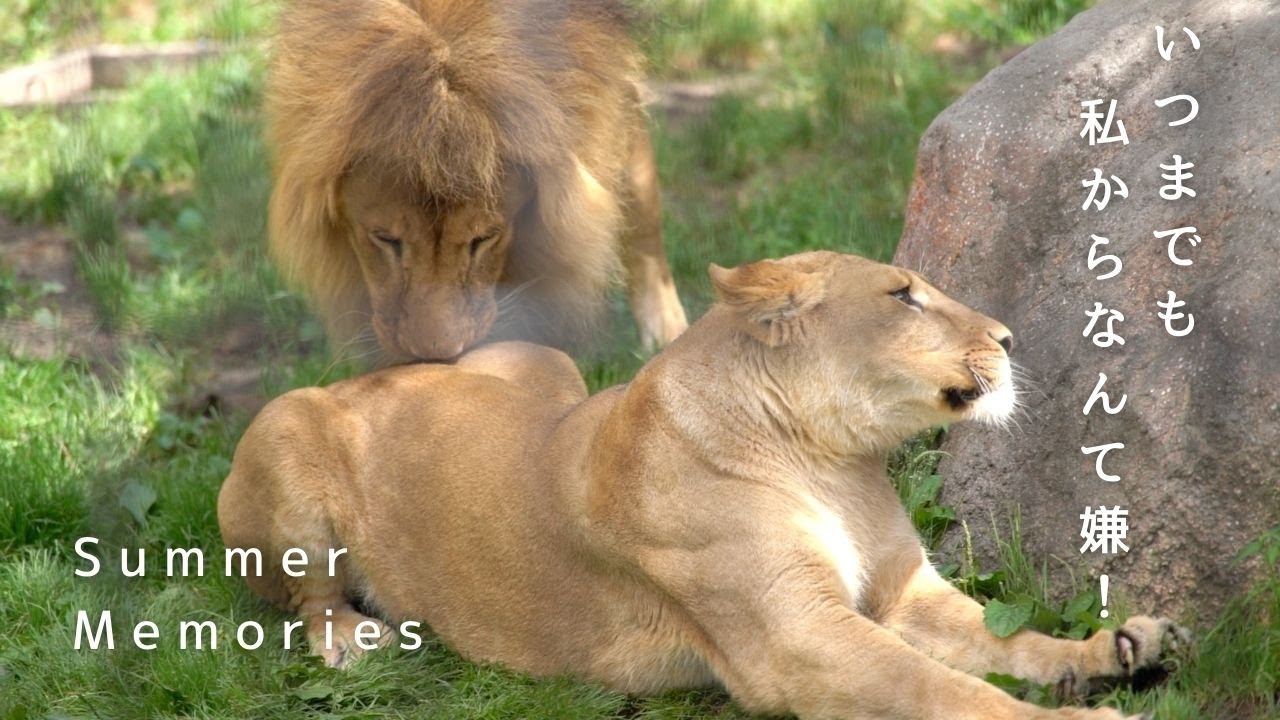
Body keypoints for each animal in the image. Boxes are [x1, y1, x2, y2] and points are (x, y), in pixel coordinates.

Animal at [219, 251, 1187, 719]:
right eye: (903, 295)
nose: (1012, 338)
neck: (832, 460)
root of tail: (373, 377)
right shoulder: (796, 640)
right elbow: (937, 690)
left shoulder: (901, 594)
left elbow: (1008, 641)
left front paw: (1117, 650)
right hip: (283, 427)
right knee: (307, 600)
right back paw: (352, 640)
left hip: (539, 360)